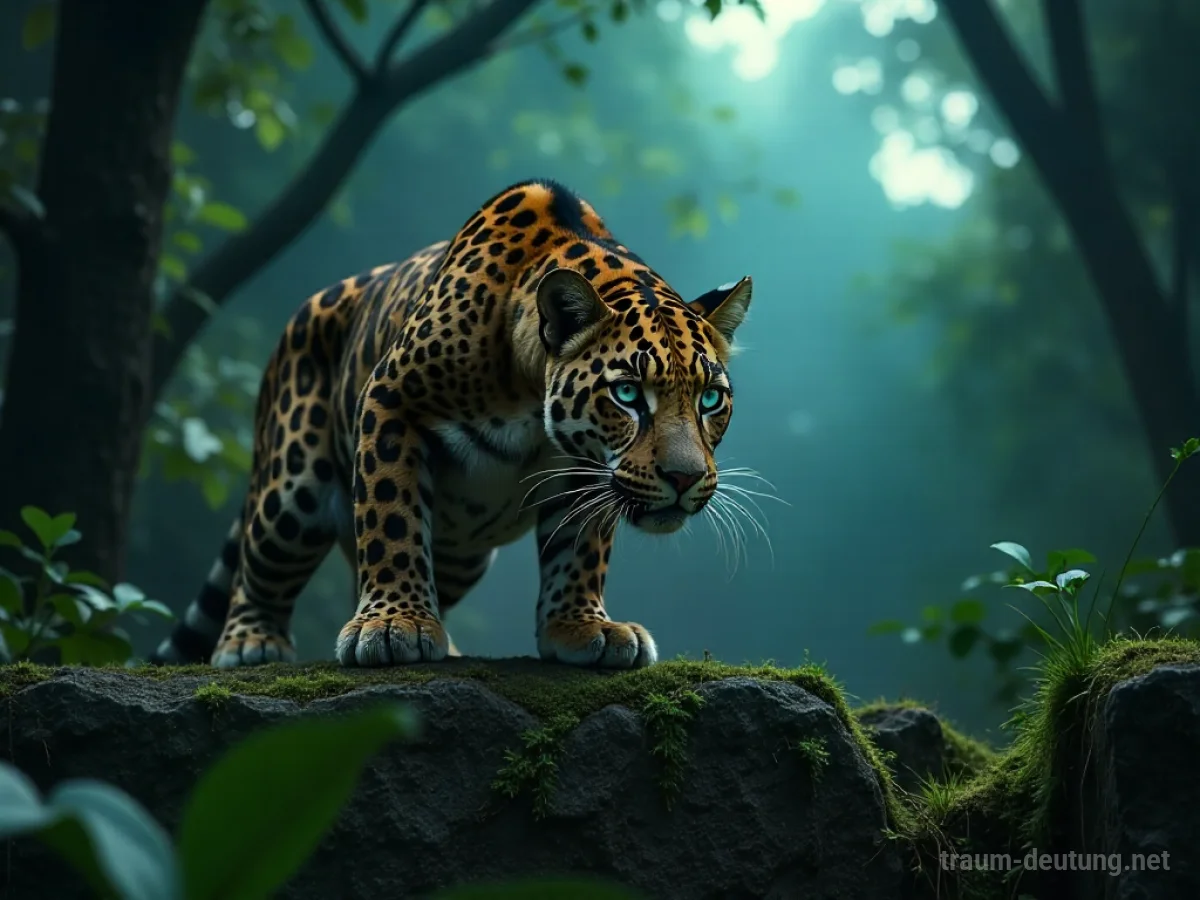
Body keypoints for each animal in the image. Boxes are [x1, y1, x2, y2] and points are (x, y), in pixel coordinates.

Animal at [149, 179, 754, 670]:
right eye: (627, 394)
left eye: (710, 399)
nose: (683, 478)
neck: (529, 393)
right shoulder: (392, 399)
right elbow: (390, 519)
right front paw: (393, 624)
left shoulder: (589, 469)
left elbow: (582, 547)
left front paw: (581, 627)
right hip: (291, 489)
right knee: (258, 567)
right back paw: (250, 641)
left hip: (464, 553)